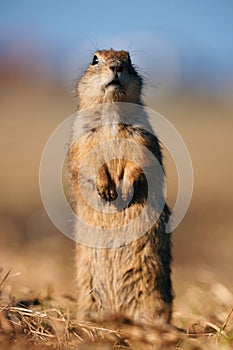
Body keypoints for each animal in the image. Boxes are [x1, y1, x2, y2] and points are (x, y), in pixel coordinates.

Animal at [68, 48, 173, 322]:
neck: (112, 118)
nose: (116, 66)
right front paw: (107, 190)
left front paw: (124, 189)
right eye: (94, 59)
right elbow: (87, 161)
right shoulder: (82, 138)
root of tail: (118, 314)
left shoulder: (142, 136)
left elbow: (140, 161)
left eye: (129, 59)